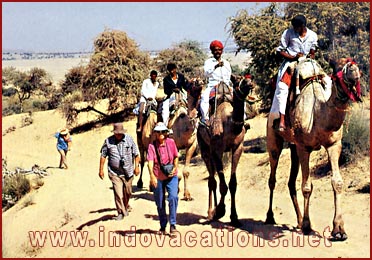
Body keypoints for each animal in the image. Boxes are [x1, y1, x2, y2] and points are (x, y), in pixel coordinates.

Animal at [196, 76, 254, 226]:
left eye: (248, 77)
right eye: (238, 81)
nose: (250, 83)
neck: (230, 124)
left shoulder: (238, 147)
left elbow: (232, 184)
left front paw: (234, 217)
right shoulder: (217, 149)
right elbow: (223, 185)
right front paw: (220, 210)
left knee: (213, 179)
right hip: (205, 148)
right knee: (212, 180)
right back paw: (210, 212)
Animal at [266, 59, 362, 242]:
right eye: (338, 70)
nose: (354, 69)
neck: (318, 114)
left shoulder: (333, 144)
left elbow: (337, 182)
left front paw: (339, 230)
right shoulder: (304, 148)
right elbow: (306, 187)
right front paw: (307, 225)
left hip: (293, 147)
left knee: (290, 182)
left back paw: (297, 220)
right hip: (274, 139)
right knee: (272, 178)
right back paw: (270, 217)